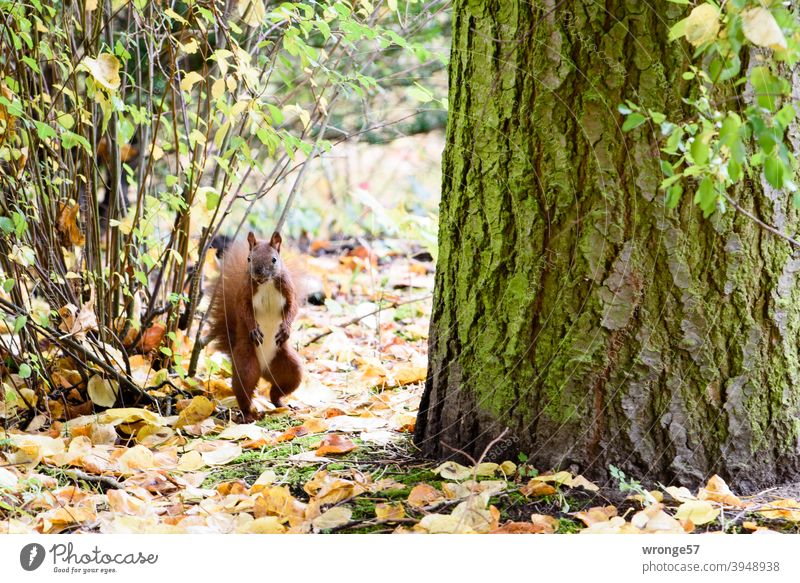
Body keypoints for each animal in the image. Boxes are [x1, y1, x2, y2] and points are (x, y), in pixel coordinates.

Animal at [206, 230, 304, 422]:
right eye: (249, 258)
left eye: (274, 259)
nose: (258, 272)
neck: (266, 283)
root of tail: (264, 370)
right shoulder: (244, 293)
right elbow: (244, 311)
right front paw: (254, 329)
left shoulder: (288, 289)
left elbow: (293, 308)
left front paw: (285, 329)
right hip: (246, 365)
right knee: (244, 391)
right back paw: (248, 415)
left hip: (290, 368)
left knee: (277, 391)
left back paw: (282, 405)